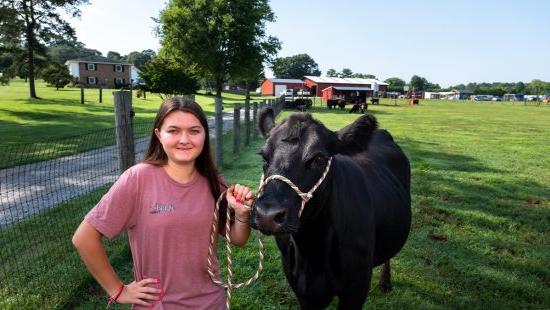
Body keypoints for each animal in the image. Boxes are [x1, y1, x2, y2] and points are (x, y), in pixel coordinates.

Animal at [252, 108, 412, 308]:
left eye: (319, 158)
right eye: (264, 156)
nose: (267, 215)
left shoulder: (357, 287)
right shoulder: (299, 287)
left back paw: (385, 282)